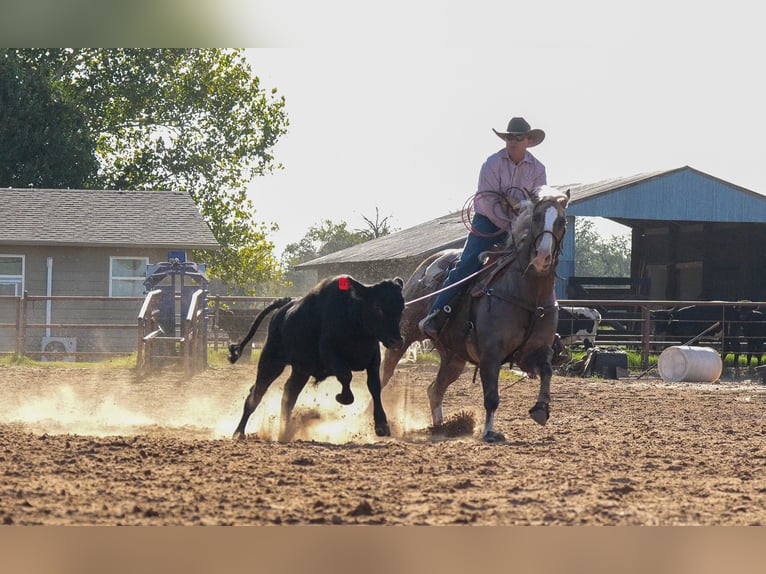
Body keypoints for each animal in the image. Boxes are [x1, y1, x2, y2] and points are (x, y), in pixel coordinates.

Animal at [230, 276, 404, 444]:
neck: (352, 318)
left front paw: (382, 425)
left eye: (401, 307)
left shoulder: (373, 360)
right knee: (256, 394)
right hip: (271, 361)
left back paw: (284, 432)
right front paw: (342, 397)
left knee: (289, 394)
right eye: (378, 307)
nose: (397, 341)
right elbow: (346, 376)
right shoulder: (330, 355)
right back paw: (239, 433)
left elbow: (375, 387)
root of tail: (285, 306)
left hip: (301, 370)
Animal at [384, 187, 568, 444]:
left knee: (434, 389)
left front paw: (541, 409)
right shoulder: (491, 353)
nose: (542, 257)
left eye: (562, 221)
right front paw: (489, 432)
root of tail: (425, 268)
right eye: (536, 218)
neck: (529, 294)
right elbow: (491, 396)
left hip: (454, 359)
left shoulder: (534, 352)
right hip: (404, 335)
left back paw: (441, 427)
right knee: (385, 374)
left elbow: (548, 371)